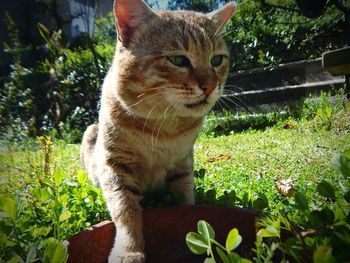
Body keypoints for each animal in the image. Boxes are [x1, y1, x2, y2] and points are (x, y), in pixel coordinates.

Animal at [80, 1, 237, 262]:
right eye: (178, 60)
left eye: (217, 60)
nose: (210, 86)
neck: (164, 128)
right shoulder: (115, 167)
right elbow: (126, 212)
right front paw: (129, 251)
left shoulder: (183, 163)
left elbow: (185, 198)